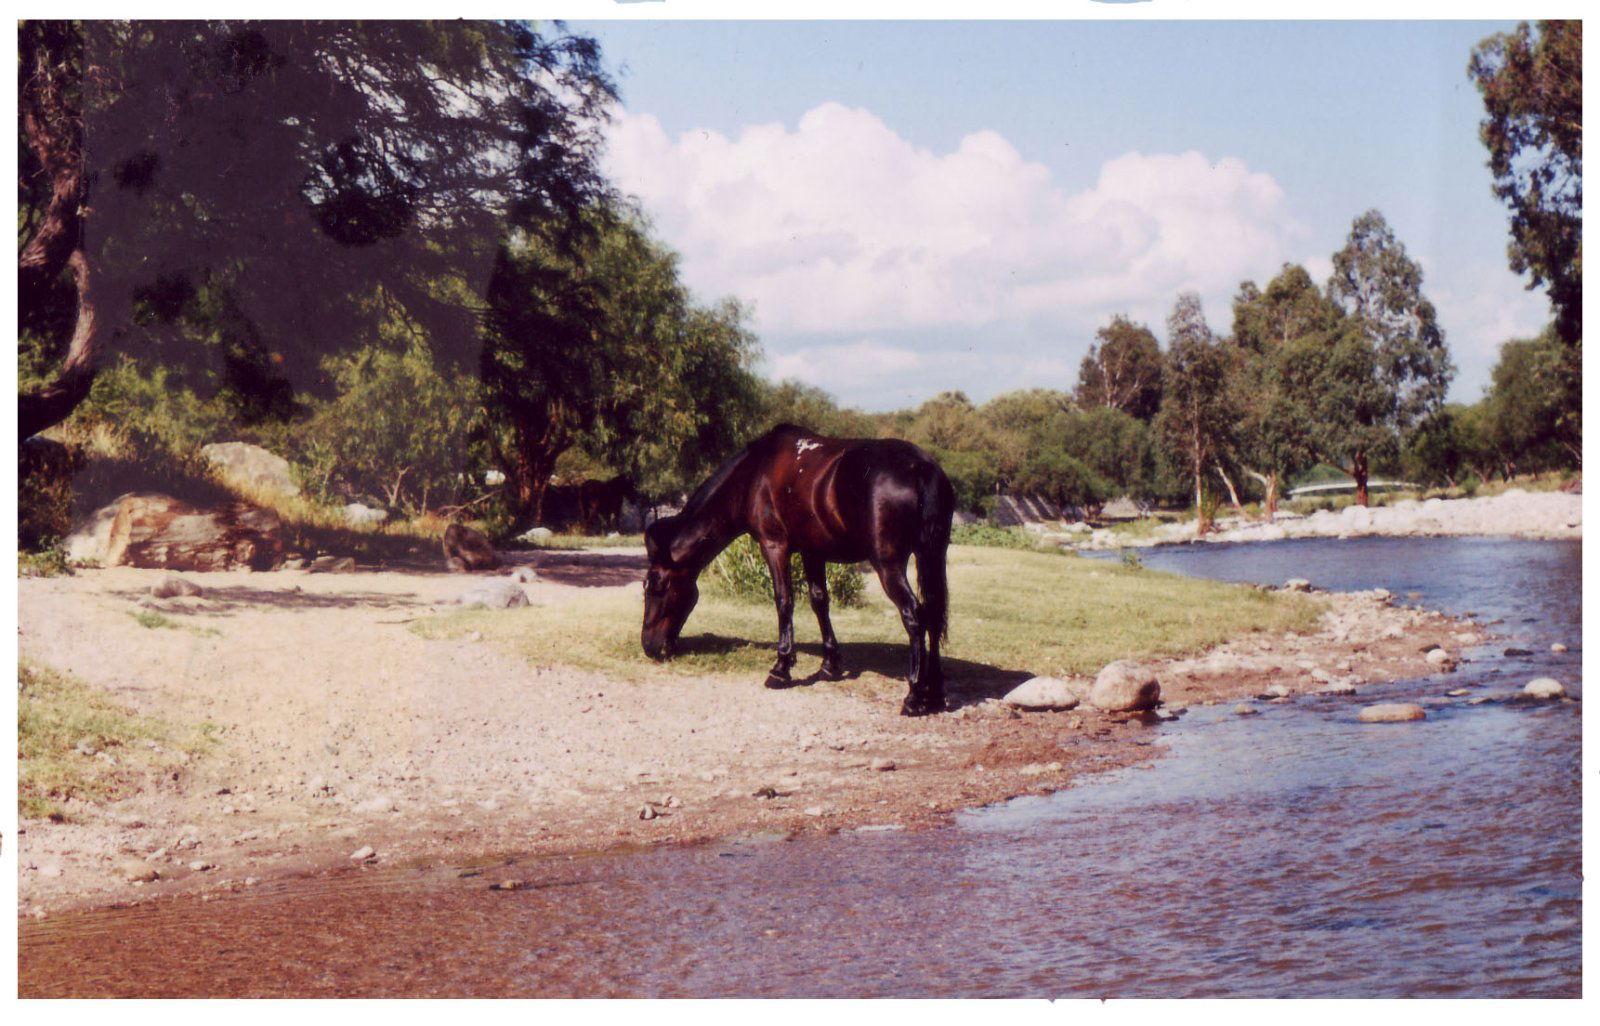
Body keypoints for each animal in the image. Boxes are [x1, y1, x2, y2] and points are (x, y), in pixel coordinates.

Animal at [636, 419, 953, 717]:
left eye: (657, 585)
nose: (649, 646)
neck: (753, 474)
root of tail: (921, 468)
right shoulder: (813, 551)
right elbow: (819, 601)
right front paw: (829, 664)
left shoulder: (774, 546)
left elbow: (784, 601)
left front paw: (781, 667)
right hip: (932, 555)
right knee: (934, 613)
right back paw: (935, 691)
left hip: (889, 565)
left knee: (914, 614)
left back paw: (914, 695)